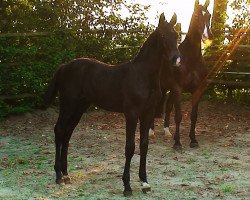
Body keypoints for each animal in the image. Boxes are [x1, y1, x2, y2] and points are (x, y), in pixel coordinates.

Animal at [43, 13, 180, 196]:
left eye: (177, 35)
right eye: (163, 36)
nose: (176, 60)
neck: (142, 75)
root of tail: (64, 66)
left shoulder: (148, 113)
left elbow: (144, 145)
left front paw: (144, 182)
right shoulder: (131, 113)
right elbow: (130, 147)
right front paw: (127, 186)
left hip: (79, 108)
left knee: (67, 133)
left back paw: (66, 174)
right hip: (67, 105)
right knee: (59, 130)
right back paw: (58, 175)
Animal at [150, 0, 213, 150]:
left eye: (209, 15)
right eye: (196, 16)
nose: (208, 36)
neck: (191, 59)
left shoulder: (197, 90)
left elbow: (193, 115)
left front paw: (193, 140)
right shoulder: (178, 89)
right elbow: (178, 116)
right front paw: (177, 143)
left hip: (168, 89)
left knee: (167, 106)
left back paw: (167, 131)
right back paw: (151, 131)